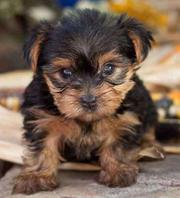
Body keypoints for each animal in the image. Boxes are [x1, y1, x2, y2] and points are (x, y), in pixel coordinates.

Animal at [12, 8, 159, 193]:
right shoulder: (41, 119)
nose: (89, 100)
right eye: (66, 72)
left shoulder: (126, 119)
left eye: (109, 68)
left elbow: (117, 146)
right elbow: (42, 148)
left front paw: (117, 170)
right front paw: (37, 176)